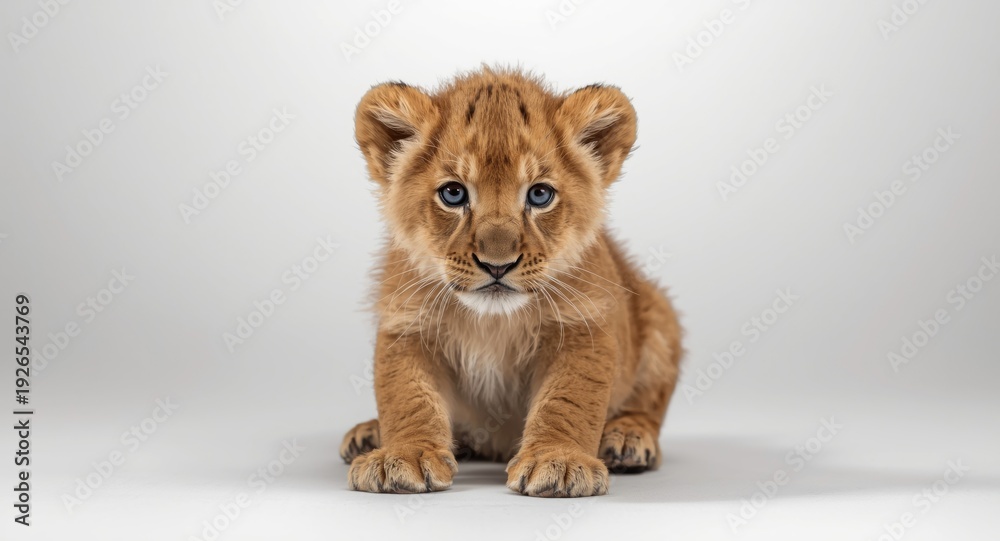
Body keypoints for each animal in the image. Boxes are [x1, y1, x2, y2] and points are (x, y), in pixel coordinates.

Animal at [340, 67, 683, 497]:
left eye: (540, 195)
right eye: (453, 193)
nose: (497, 265)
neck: (492, 322)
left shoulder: (582, 326)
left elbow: (568, 400)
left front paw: (560, 461)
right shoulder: (406, 325)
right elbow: (407, 396)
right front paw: (402, 455)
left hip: (659, 317)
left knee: (647, 403)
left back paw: (627, 437)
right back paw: (368, 434)